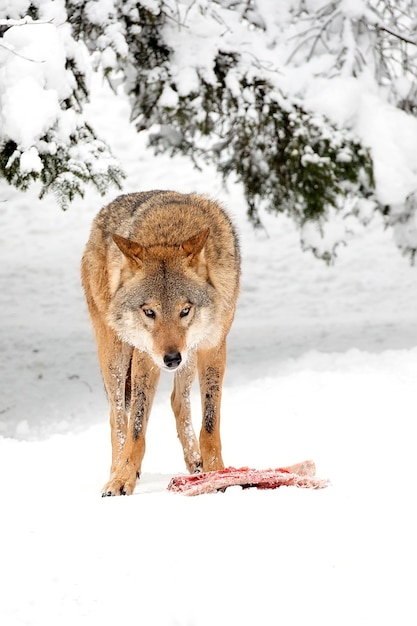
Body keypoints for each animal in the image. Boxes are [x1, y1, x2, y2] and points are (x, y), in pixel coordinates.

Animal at [80, 188, 240, 494]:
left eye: (185, 310)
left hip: (189, 353)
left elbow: (210, 423)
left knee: (177, 401)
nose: (171, 358)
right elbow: (136, 427)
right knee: (117, 417)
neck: (169, 234)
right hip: (115, 353)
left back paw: (195, 462)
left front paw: (216, 473)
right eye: (149, 312)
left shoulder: (212, 347)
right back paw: (116, 469)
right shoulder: (146, 356)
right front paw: (123, 478)